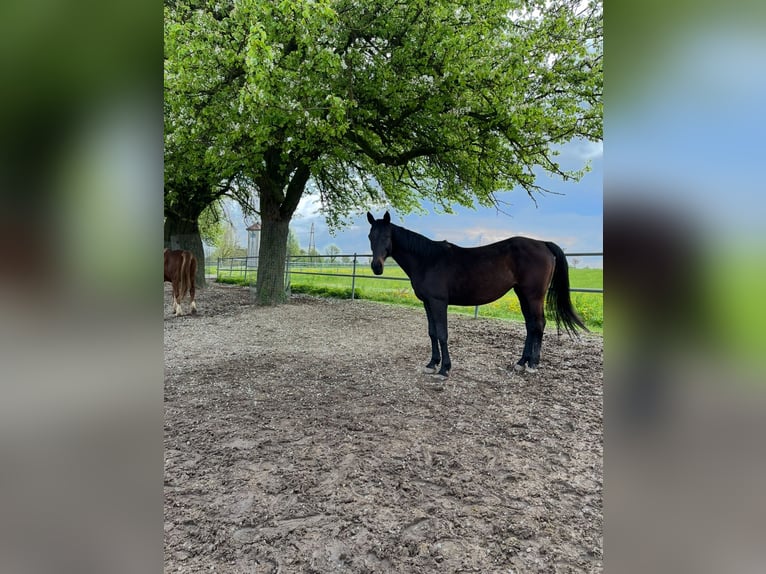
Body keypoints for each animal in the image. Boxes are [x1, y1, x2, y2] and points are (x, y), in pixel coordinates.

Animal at [366, 212, 588, 378]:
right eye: (370, 237)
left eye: (387, 236)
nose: (376, 267)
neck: (428, 260)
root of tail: (543, 243)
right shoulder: (427, 303)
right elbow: (432, 333)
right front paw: (432, 364)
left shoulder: (439, 302)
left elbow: (442, 333)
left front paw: (444, 369)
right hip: (522, 294)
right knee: (531, 325)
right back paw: (520, 362)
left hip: (534, 296)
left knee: (539, 324)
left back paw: (533, 364)